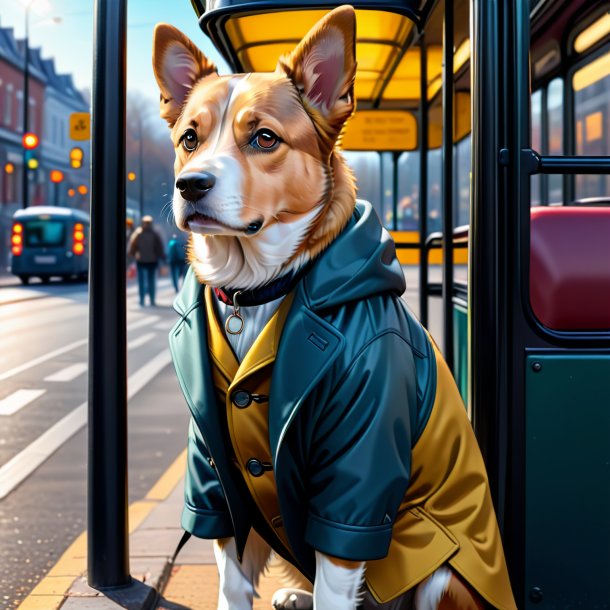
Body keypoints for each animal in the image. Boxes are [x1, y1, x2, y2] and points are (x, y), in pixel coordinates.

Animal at [154, 5, 516, 608]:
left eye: (265, 138)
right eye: (188, 138)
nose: (191, 184)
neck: (257, 289)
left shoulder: (357, 474)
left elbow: (338, 568)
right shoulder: (215, 473)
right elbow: (231, 582)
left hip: (444, 573)